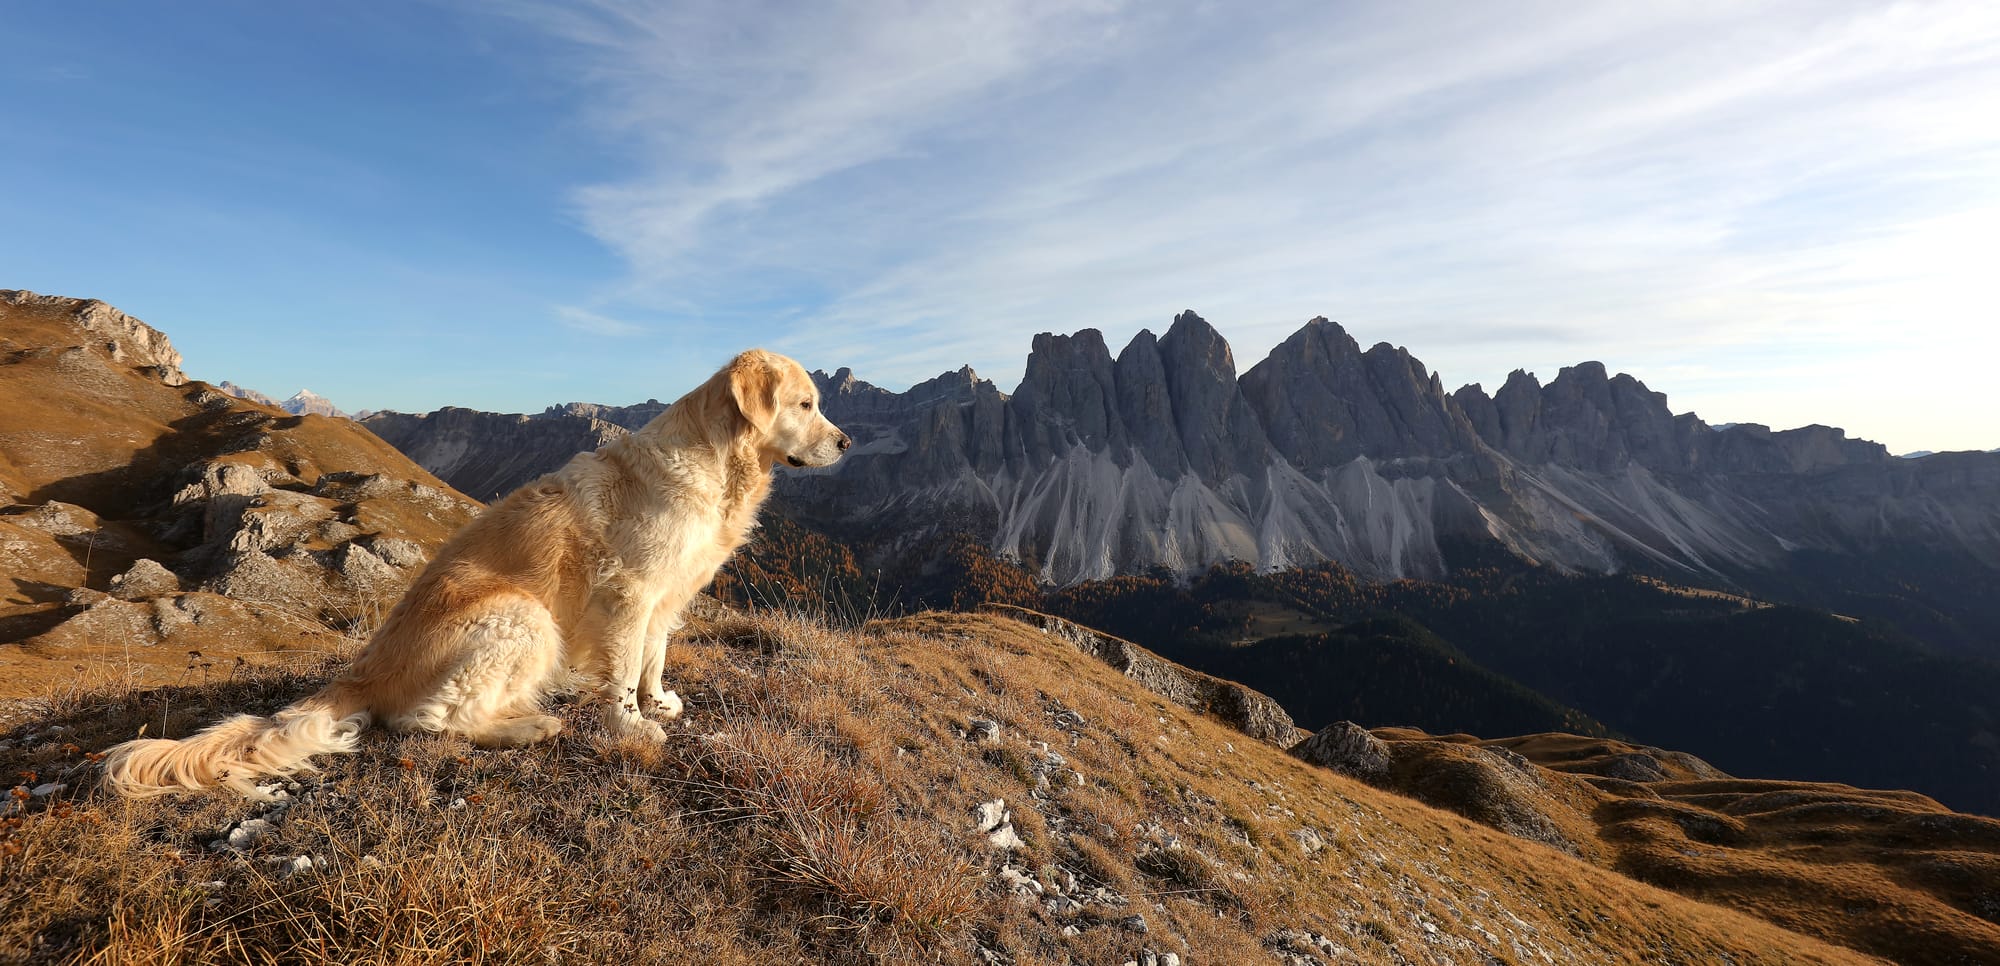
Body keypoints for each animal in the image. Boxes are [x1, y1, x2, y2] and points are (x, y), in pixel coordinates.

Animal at [101, 350, 844, 800]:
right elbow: (624, 669)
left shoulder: (666, 596)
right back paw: (525, 728)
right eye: (806, 404)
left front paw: (658, 699)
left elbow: (653, 657)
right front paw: (632, 724)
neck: (720, 465)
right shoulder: (628, 593)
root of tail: (362, 671)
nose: (847, 441)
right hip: (520, 613)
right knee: (430, 720)